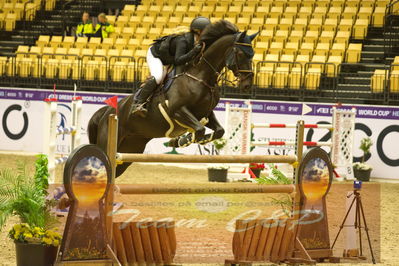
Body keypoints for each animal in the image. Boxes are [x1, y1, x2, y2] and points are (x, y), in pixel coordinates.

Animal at [87, 20, 256, 178]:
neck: (201, 76)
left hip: (131, 148)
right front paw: (182, 140)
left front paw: (184, 140)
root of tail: (106, 112)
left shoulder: (206, 113)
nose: (247, 85)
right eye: (241, 54)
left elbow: (218, 131)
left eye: (252, 54)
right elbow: (199, 129)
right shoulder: (177, 110)